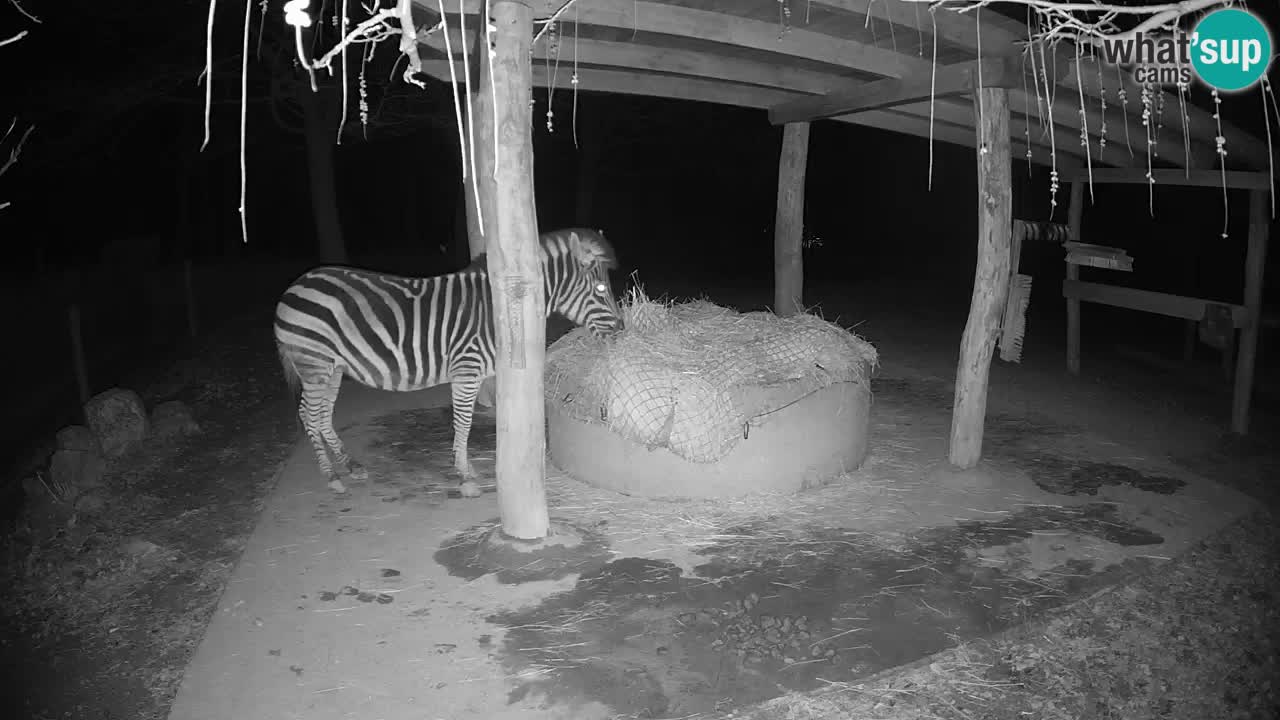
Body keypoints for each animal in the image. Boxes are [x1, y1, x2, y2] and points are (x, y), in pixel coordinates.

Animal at [275, 228, 624, 491]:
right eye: (601, 288)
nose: (622, 330)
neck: (502, 309)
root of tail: (296, 285)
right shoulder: (467, 369)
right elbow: (463, 421)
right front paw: (464, 473)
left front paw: (466, 466)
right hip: (315, 363)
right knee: (309, 415)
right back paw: (332, 476)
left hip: (332, 367)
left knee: (321, 416)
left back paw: (350, 466)